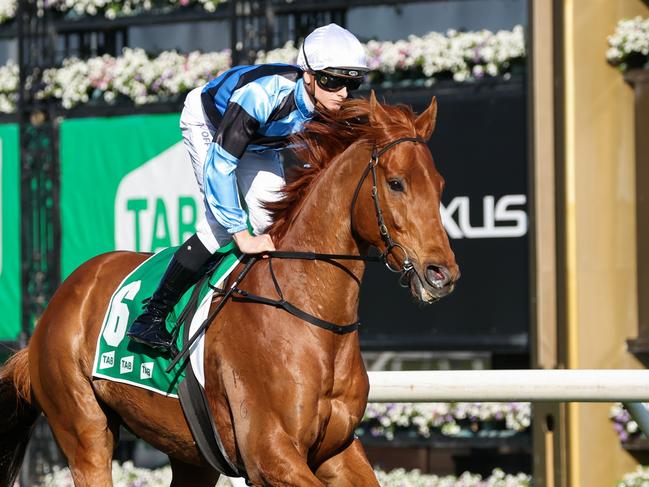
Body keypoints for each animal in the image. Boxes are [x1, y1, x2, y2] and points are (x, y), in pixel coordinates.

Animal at [0, 92, 458, 487]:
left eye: (439, 184)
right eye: (396, 183)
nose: (441, 273)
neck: (310, 313)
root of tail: (64, 295)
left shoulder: (336, 450)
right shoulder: (269, 455)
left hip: (190, 453)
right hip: (84, 430)